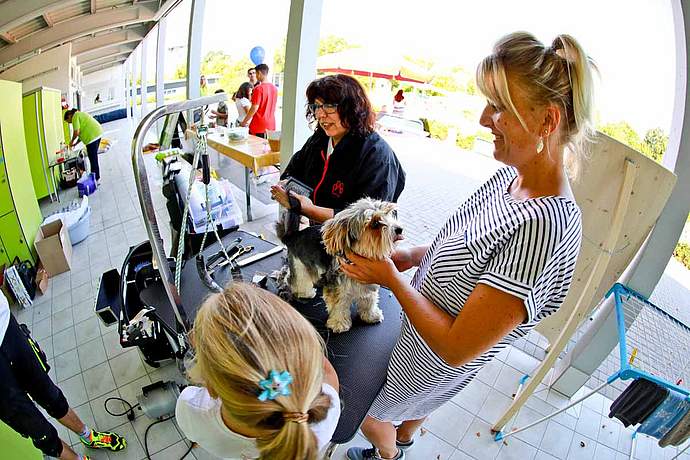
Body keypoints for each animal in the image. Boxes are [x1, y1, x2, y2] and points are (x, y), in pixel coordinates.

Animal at [276, 198, 400, 330]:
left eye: (389, 214)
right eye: (375, 224)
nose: (399, 229)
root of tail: (293, 236)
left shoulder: (368, 284)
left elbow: (369, 300)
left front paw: (371, 315)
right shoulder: (337, 287)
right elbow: (339, 305)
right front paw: (339, 323)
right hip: (299, 264)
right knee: (297, 280)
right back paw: (306, 292)